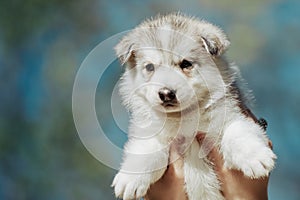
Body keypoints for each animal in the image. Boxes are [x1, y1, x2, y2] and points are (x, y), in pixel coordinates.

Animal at [111, 12, 276, 200]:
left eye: (186, 64)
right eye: (150, 67)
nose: (166, 93)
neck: (184, 116)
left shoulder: (232, 115)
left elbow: (237, 131)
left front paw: (254, 157)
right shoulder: (150, 133)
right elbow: (146, 149)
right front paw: (130, 177)